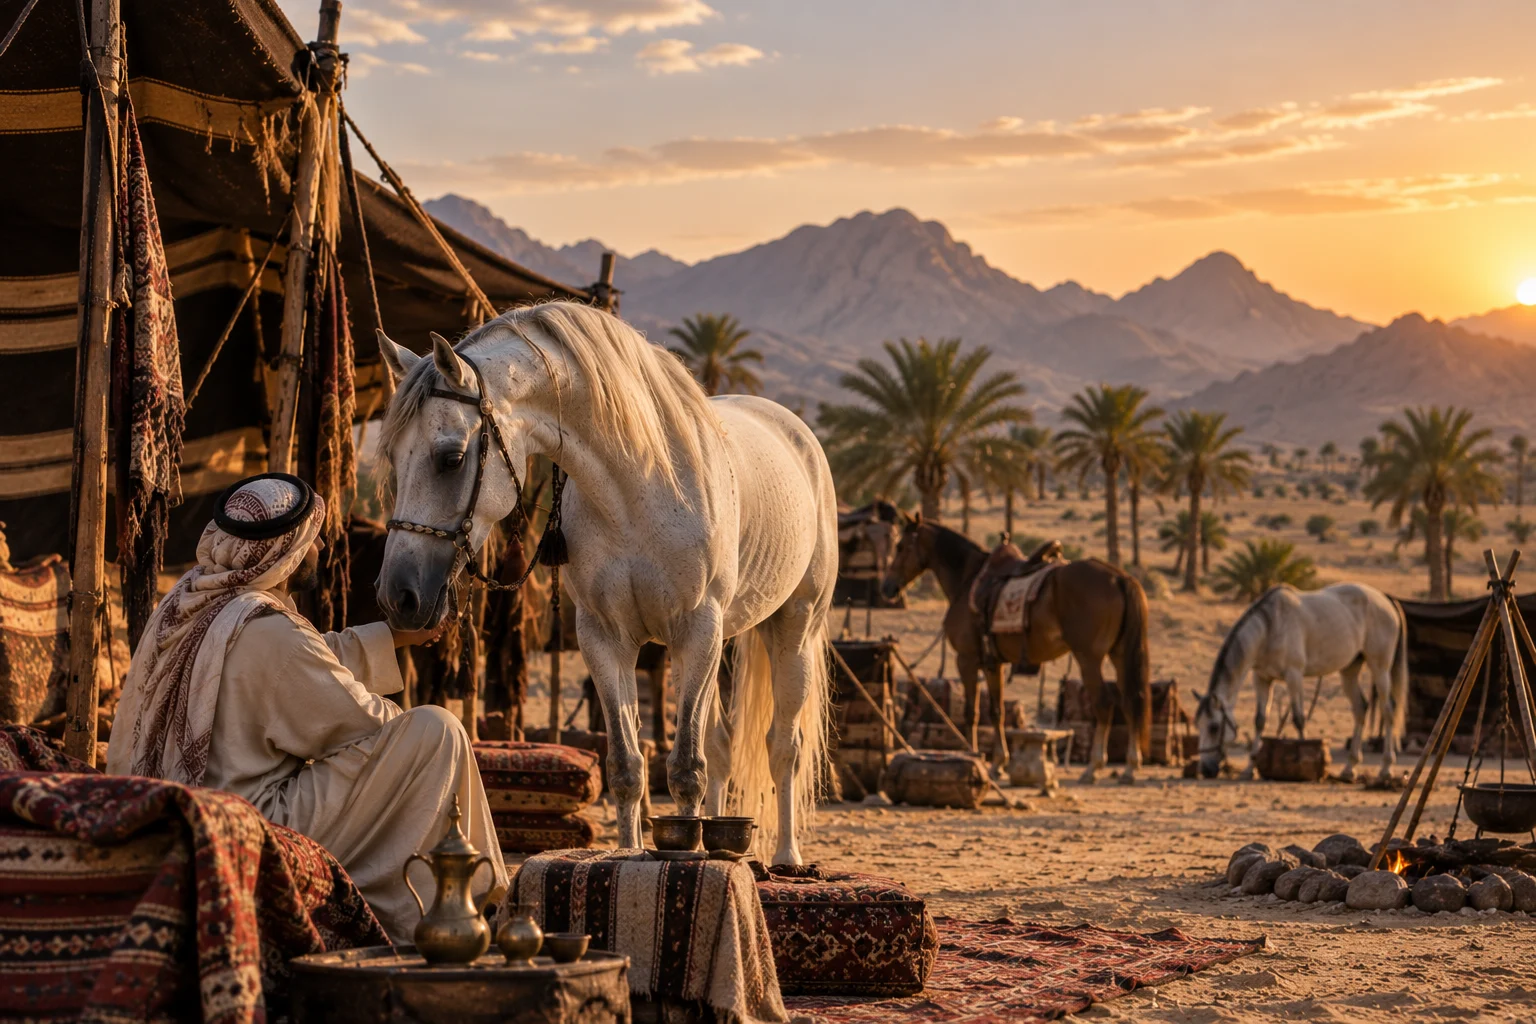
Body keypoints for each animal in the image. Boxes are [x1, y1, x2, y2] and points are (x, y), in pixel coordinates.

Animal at [372, 301, 837, 864]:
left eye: (451, 458)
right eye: (392, 459)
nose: (398, 597)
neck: (638, 486)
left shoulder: (696, 630)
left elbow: (685, 768)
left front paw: (687, 859)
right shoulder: (605, 638)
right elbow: (627, 766)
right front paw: (631, 854)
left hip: (792, 629)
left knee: (782, 746)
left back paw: (788, 857)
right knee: (723, 747)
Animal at [881, 517, 1152, 784]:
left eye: (900, 546)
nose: (887, 587)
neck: (968, 580)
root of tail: (1120, 578)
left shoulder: (967, 660)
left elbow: (972, 712)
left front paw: (973, 756)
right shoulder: (993, 664)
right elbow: (997, 711)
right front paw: (998, 764)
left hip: (1088, 658)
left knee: (1104, 704)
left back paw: (1093, 767)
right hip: (1119, 655)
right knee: (1130, 700)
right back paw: (1130, 766)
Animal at [1193, 582, 1408, 782]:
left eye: (1214, 727)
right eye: (1198, 725)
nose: (1206, 770)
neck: (1270, 627)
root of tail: (1385, 599)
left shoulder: (1294, 676)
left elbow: (1298, 718)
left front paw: (1307, 766)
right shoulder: (1262, 678)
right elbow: (1260, 720)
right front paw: (1249, 768)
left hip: (1380, 668)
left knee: (1388, 710)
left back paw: (1386, 768)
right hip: (1350, 670)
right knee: (1360, 709)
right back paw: (1349, 768)